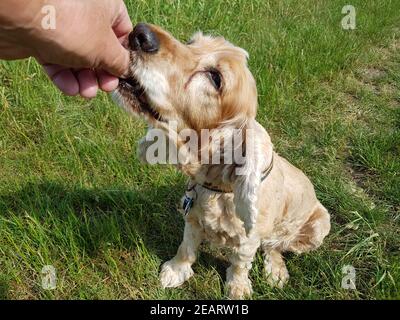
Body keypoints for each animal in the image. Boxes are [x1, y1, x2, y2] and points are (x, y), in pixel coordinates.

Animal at [113, 23, 332, 300]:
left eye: (215, 78)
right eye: (191, 42)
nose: (140, 33)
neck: (216, 187)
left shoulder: (247, 241)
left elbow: (239, 265)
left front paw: (237, 290)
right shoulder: (192, 216)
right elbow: (186, 247)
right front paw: (176, 270)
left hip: (319, 225)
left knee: (275, 246)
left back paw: (276, 271)